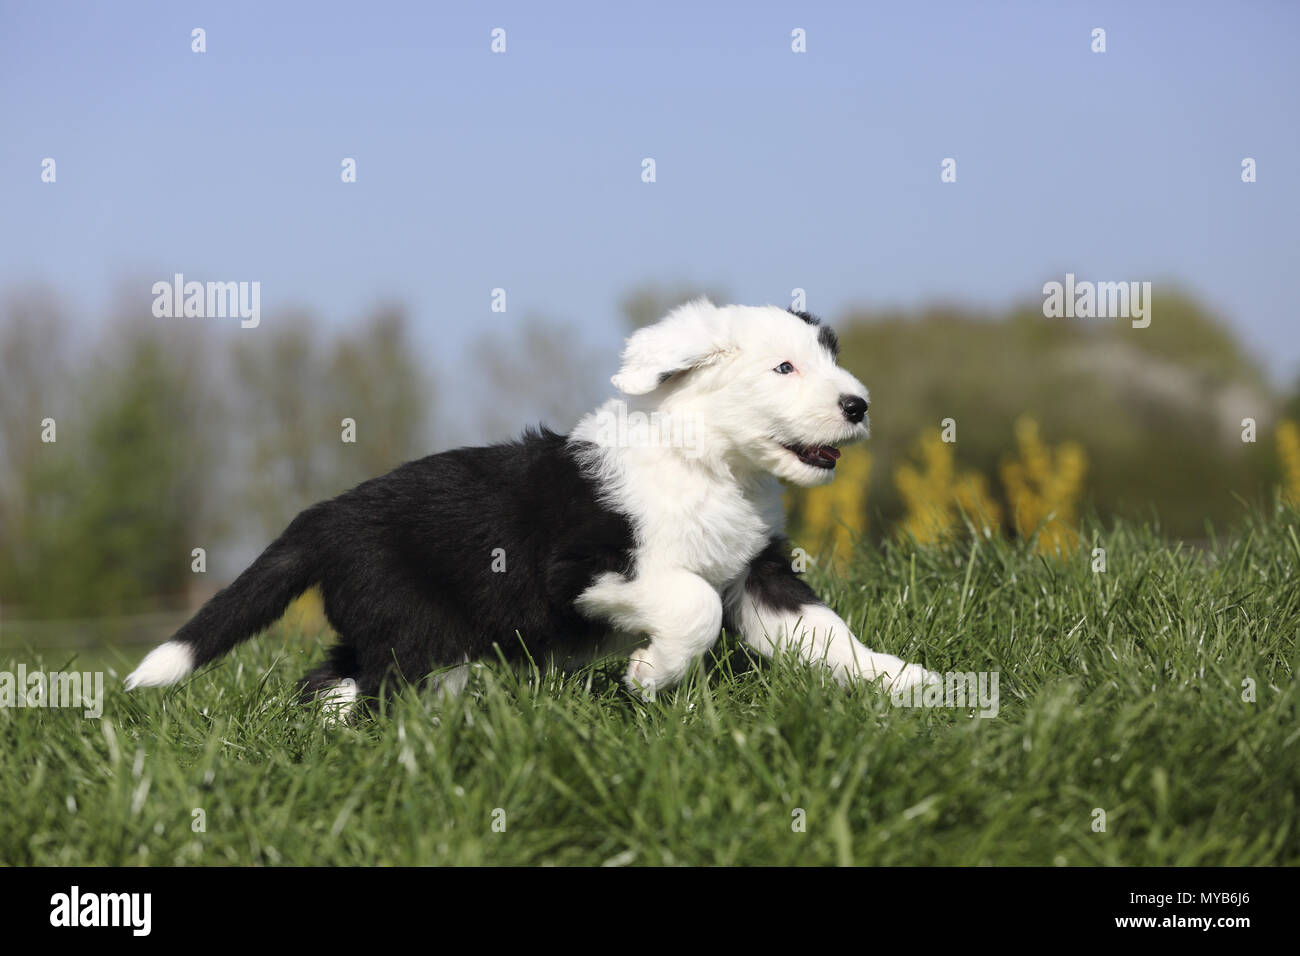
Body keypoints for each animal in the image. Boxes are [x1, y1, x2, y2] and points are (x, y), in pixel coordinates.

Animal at [126, 300, 941, 717]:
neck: (708, 462)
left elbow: (827, 635)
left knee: (331, 678)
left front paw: (917, 686)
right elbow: (693, 605)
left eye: (831, 357)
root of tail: (328, 514)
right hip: (419, 630)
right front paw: (648, 676)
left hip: (386, 627)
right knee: (387, 693)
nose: (857, 405)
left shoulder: (758, 575)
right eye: (784, 367)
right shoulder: (585, 568)